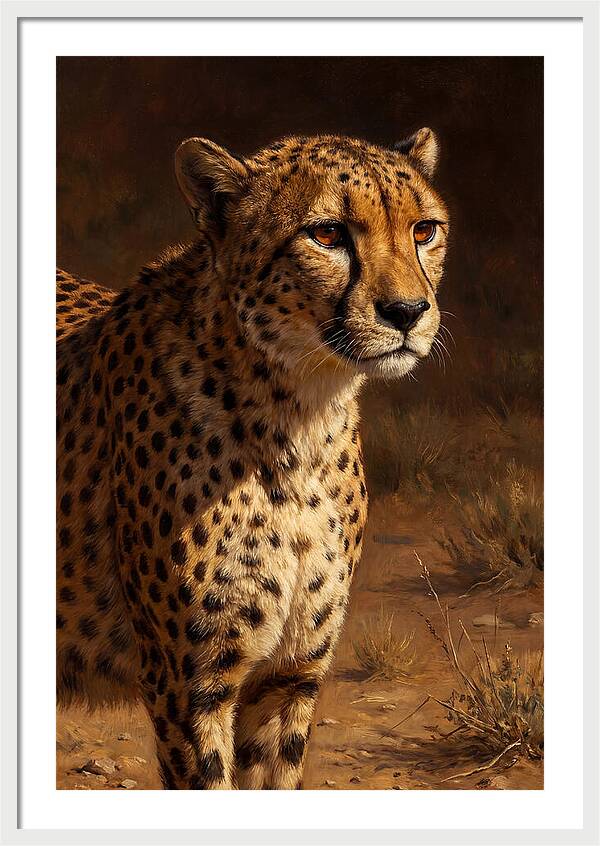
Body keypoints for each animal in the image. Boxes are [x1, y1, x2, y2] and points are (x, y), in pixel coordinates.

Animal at [56, 127, 449, 790]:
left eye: (423, 230)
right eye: (328, 234)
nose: (407, 312)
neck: (299, 422)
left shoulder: (289, 677)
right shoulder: (189, 686)